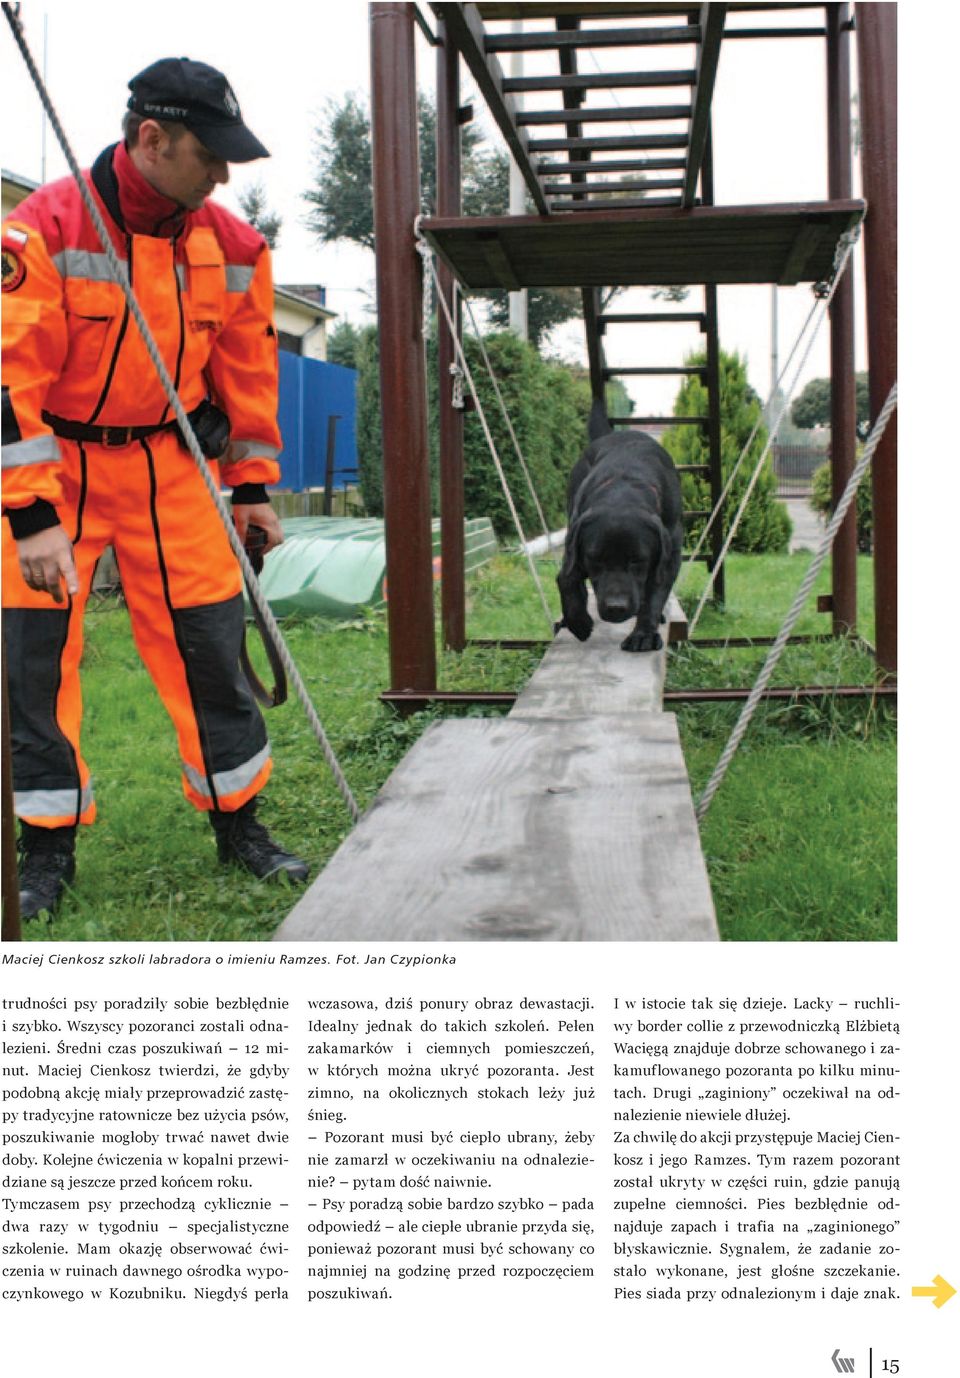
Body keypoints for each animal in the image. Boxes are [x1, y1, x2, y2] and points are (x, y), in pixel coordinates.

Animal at [553, 402, 680, 653]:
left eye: (638, 561)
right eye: (595, 559)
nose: (616, 607)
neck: (623, 488)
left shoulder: (669, 554)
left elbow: (655, 594)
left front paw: (643, 635)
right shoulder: (574, 543)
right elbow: (566, 578)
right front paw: (579, 622)